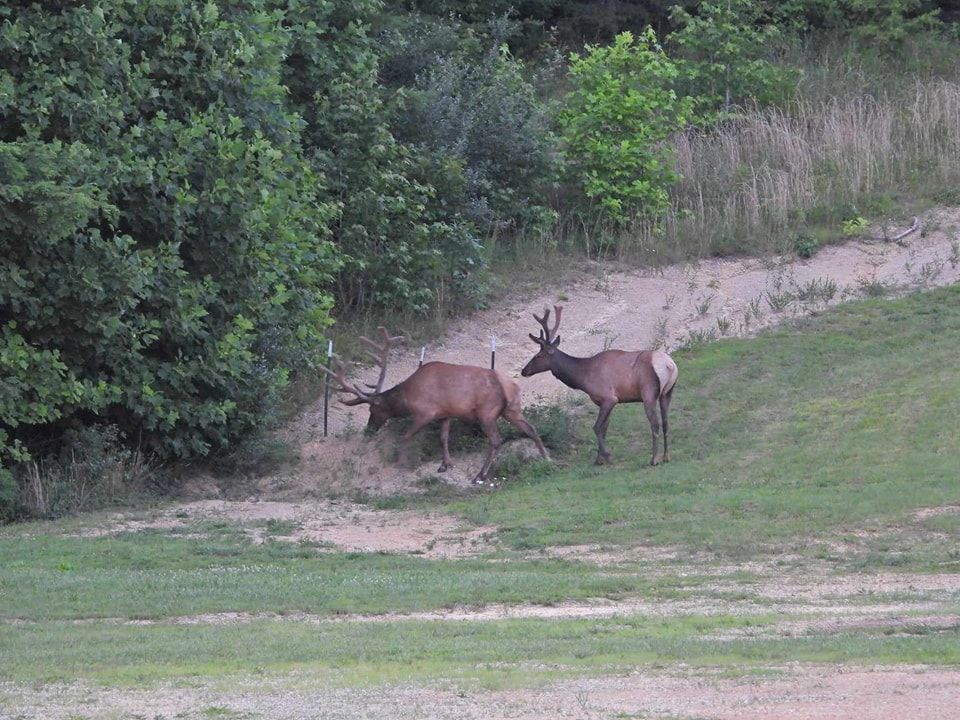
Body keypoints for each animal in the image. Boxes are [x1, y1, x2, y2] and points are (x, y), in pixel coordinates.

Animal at [322, 327, 550, 484]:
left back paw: (480, 474)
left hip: (487, 412)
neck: (407, 397)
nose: (369, 430)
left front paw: (401, 464)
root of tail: (509, 385)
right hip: (512, 409)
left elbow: (406, 436)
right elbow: (443, 437)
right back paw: (546, 457)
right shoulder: (445, 413)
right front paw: (445, 464)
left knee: (496, 440)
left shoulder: (424, 412)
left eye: (373, 409)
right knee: (531, 428)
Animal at [521, 306, 678, 467]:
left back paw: (654, 459)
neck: (583, 377)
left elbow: (596, 428)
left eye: (538, 356)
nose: (523, 371)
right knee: (666, 422)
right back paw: (666, 457)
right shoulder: (606, 402)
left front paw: (607, 456)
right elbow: (604, 429)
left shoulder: (609, 398)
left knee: (655, 424)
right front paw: (599, 459)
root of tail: (669, 365)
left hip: (648, 393)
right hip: (667, 393)